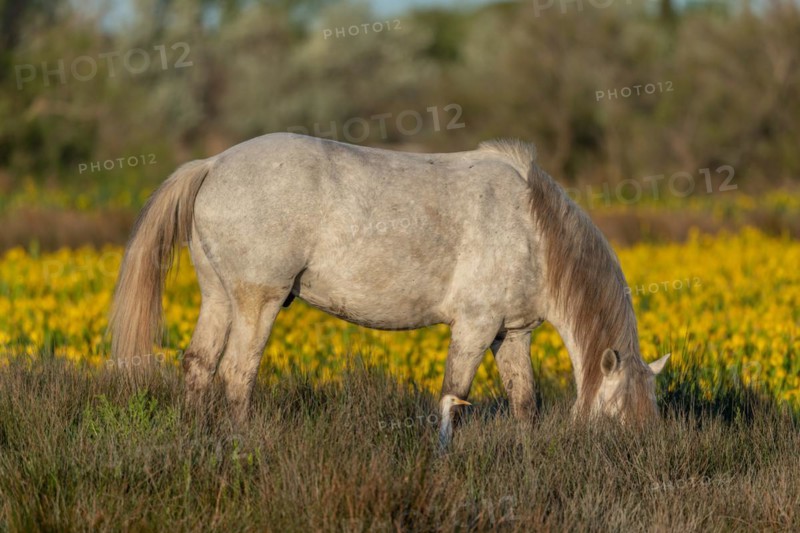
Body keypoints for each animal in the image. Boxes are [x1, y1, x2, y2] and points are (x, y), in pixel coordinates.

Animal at [109, 133, 670, 446]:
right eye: (617, 416)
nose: (633, 458)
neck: (533, 227)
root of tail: (213, 164)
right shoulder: (474, 326)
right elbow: (452, 397)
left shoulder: (511, 334)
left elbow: (524, 401)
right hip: (258, 301)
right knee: (236, 372)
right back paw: (243, 441)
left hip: (219, 298)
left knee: (199, 365)